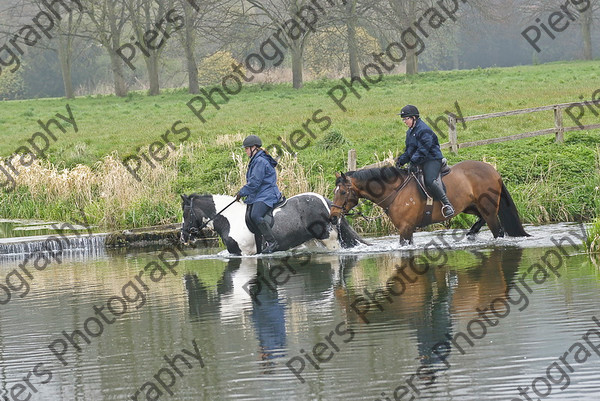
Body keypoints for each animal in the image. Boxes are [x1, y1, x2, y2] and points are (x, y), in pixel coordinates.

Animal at [180, 192, 364, 255]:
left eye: (185, 213)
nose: (183, 237)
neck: (229, 220)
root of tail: (326, 202)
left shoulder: (244, 254)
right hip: (311, 240)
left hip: (329, 238)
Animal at [328, 160, 528, 244]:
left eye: (343, 192)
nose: (333, 217)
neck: (395, 191)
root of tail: (492, 170)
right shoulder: (407, 229)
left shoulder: (406, 228)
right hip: (471, 207)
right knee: (481, 219)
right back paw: (472, 232)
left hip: (488, 209)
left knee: (497, 230)